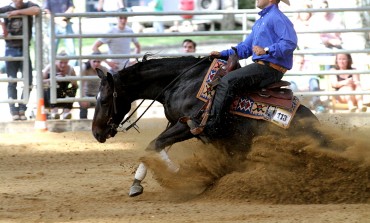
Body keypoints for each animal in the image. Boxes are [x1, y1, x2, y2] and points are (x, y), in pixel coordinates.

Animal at [92, 55, 326, 197]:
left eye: (104, 100)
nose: (96, 133)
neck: (183, 82)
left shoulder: (188, 126)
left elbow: (154, 145)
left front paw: (182, 176)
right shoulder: (173, 123)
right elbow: (155, 147)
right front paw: (136, 184)